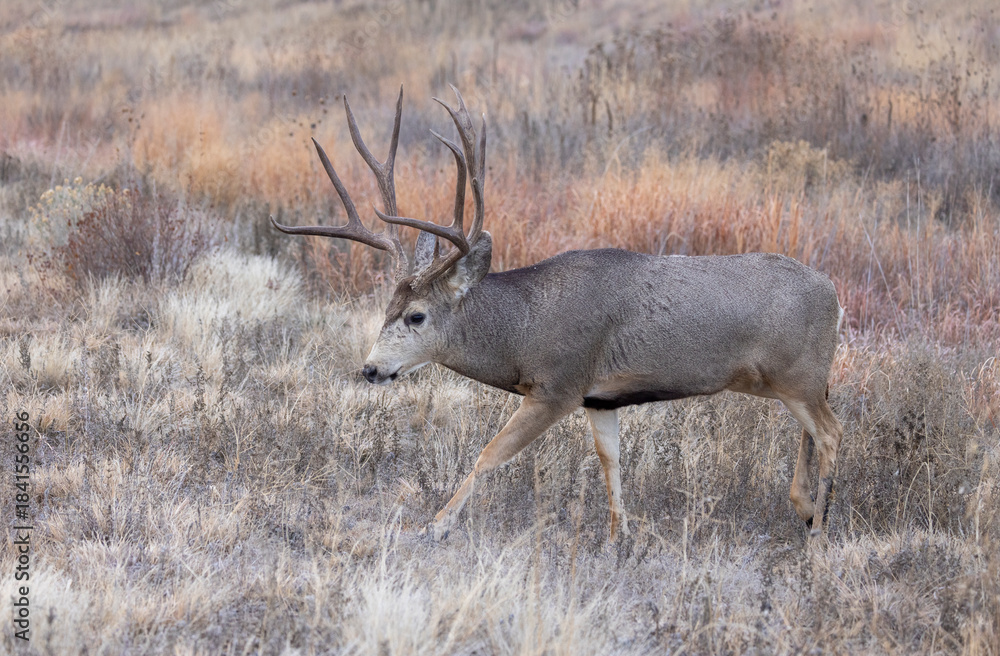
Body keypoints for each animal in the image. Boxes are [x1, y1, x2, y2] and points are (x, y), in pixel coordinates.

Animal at [270, 86, 845, 542]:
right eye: (385, 306)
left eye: (416, 316)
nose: (371, 369)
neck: (526, 326)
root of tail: (835, 293)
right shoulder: (600, 397)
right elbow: (611, 462)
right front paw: (617, 539)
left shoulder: (559, 385)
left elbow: (491, 453)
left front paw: (436, 524)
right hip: (790, 380)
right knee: (817, 428)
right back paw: (803, 507)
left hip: (798, 373)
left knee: (832, 431)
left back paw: (820, 527)